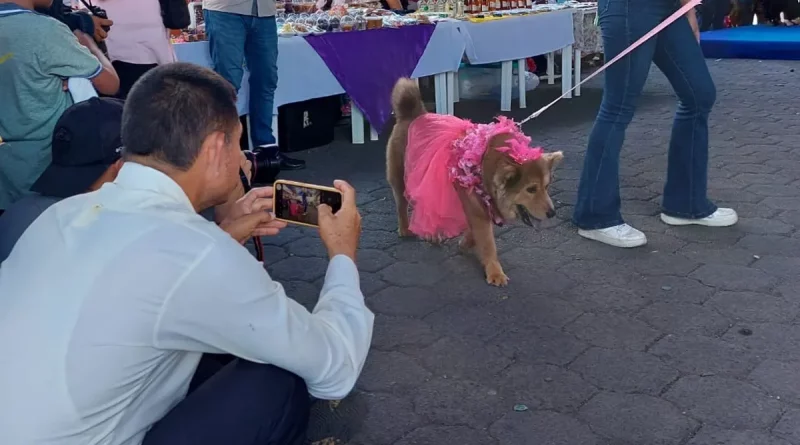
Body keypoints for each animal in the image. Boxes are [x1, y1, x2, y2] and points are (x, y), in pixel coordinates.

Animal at [386, 78, 564, 286]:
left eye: (546, 187)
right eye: (531, 189)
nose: (552, 213)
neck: (486, 163)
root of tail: (412, 114)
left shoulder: (483, 208)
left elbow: (475, 233)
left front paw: (465, 244)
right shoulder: (477, 209)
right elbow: (487, 243)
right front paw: (495, 272)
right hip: (400, 178)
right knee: (403, 204)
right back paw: (407, 228)